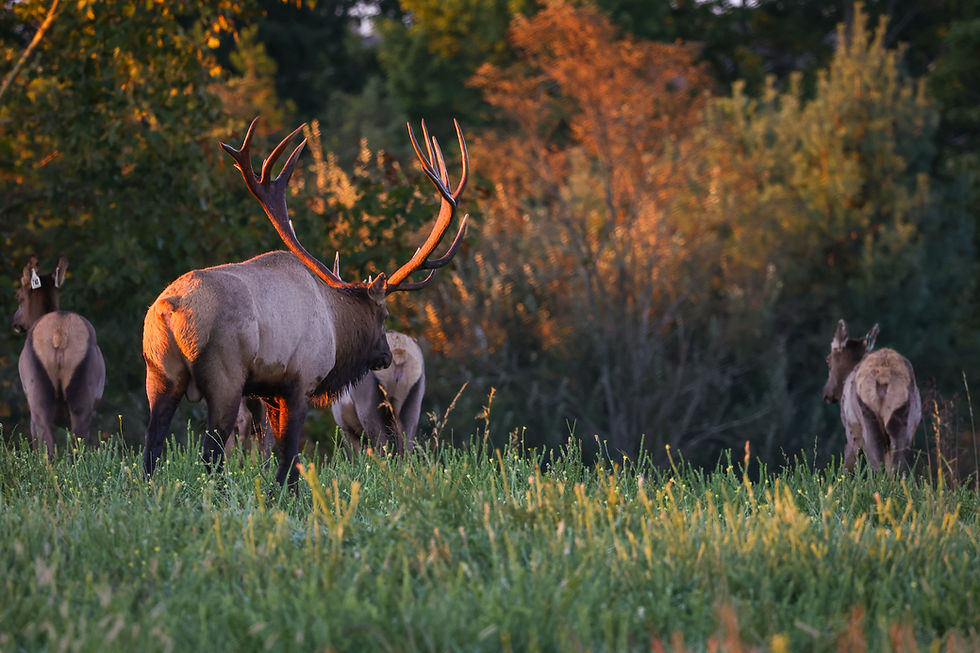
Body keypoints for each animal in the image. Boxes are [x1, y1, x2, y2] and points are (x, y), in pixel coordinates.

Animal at [12, 255, 106, 457]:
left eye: (19, 296)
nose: (15, 322)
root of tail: (59, 334)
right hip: (82, 400)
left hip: (37, 395)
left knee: (47, 447)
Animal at [141, 116, 467, 486]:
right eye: (383, 314)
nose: (384, 355)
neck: (335, 323)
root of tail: (171, 311)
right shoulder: (301, 379)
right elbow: (289, 455)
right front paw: (283, 492)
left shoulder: (270, 390)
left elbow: (276, 453)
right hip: (225, 375)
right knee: (211, 451)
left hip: (159, 371)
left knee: (152, 444)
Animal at [822, 319, 920, 473]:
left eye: (828, 360)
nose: (826, 393)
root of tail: (884, 375)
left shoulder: (851, 431)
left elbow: (847, 467)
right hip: (902, 422)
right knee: (897, 465)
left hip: (867, 420)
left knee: (877, 465)